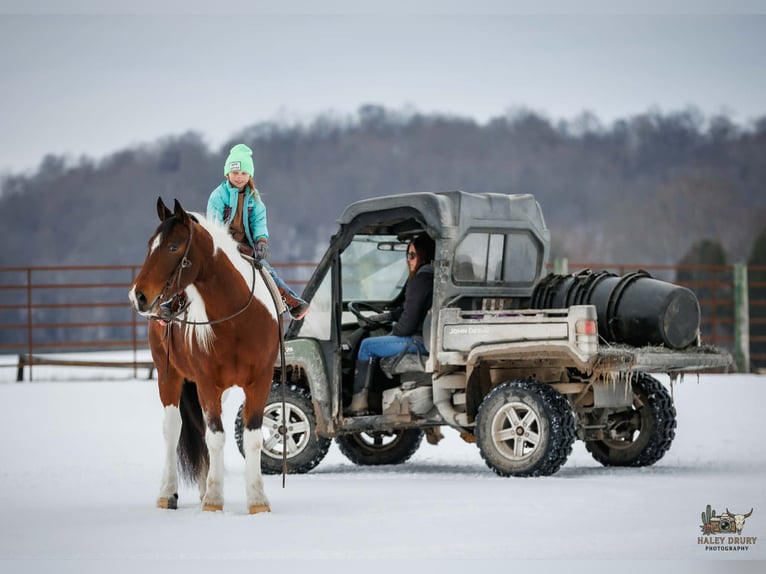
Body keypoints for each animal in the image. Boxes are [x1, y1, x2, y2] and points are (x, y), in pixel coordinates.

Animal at [128, 197, 280, 514]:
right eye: (151, 244)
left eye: (173, 246)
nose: (138, 296)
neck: (237, 319)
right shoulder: (207, 382)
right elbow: (216, 436)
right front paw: (213, 501)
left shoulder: (259, 380)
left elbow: (252, 438)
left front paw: (257, 501)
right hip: (168, 375)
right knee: (174, 429)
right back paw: (168, 493)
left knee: (200, 430)